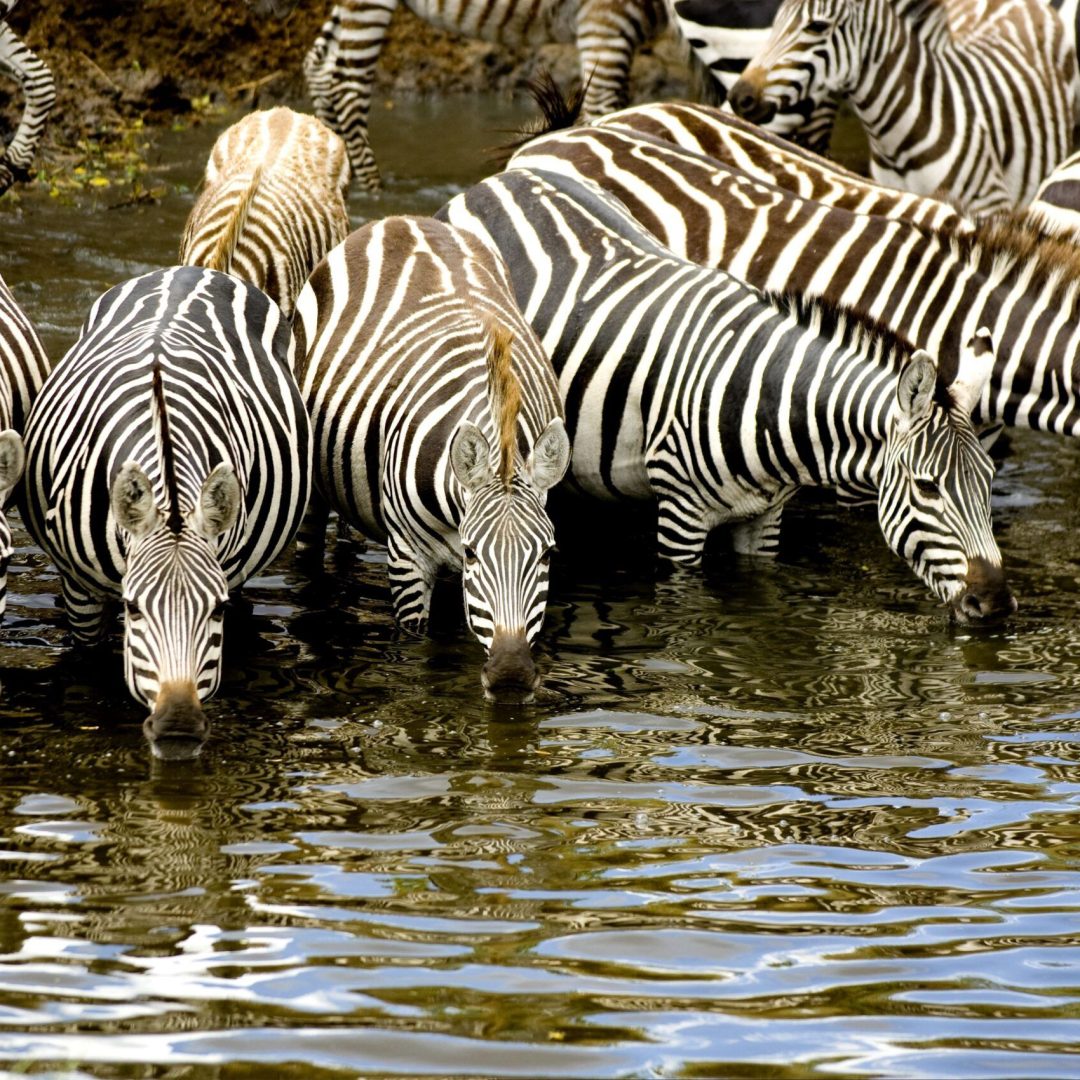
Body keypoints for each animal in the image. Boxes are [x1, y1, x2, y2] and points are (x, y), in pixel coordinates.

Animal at [22, 266, 312, 760]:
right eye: (133, 607)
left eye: (216, 609)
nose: (178, 728)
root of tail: (192, 271)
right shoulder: (79, 587)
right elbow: (89, 670)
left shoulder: (225, 574)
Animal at [292, 215, 571, 700]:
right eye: (474, 553)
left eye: (548, 555)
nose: (512, 678)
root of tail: (404, 220)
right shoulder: (407, 557)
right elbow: (416, 651)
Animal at [437, 167, 1014, 623]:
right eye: (928, 487)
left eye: (988, 480)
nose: (994, 606)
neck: (769, 406)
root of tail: (496, 180)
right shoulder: (680, 515)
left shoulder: (766, 517)